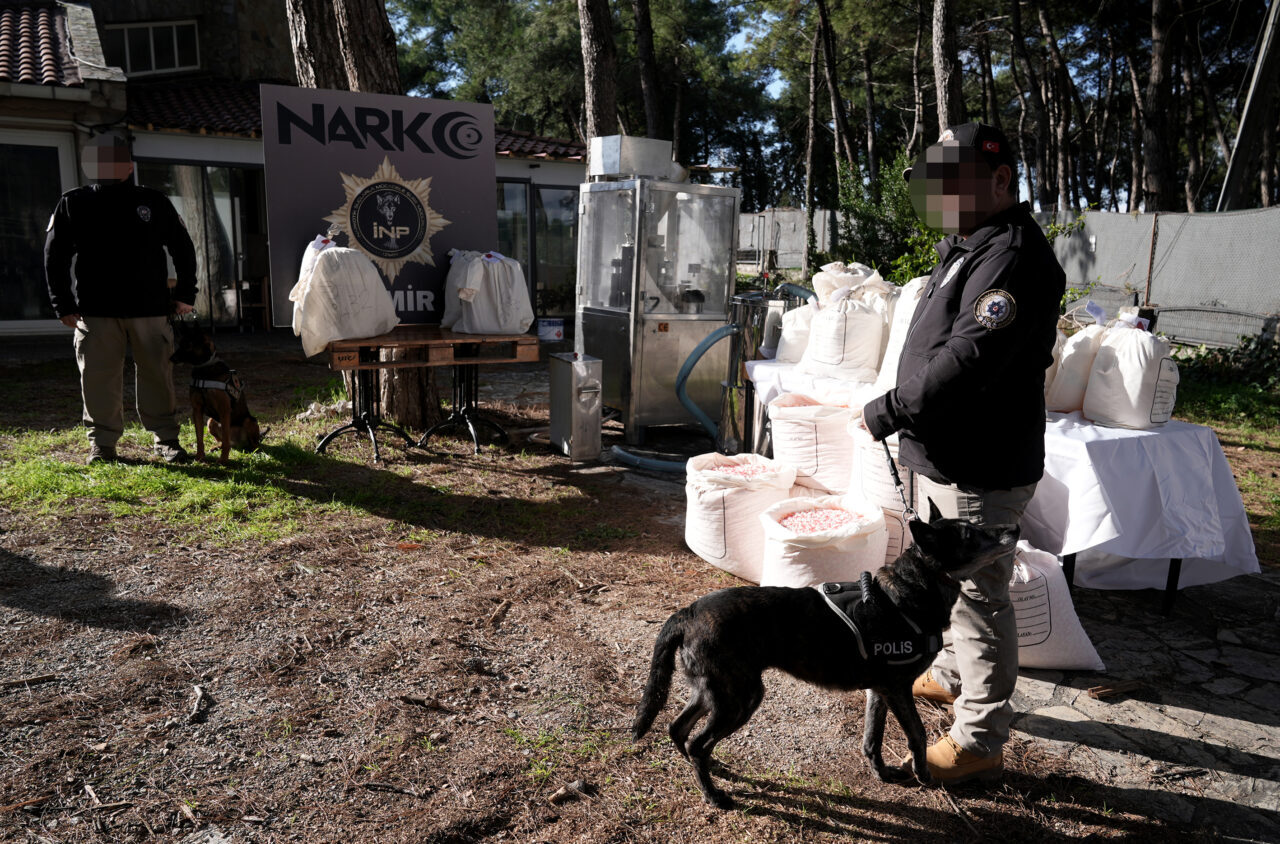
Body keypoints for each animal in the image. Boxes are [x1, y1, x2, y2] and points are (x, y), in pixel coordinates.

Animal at [168, 321, 263, 461]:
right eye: (180, 343)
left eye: (188, 345)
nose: (171, 358)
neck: (205, 368)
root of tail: (239, 443)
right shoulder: (197, 410)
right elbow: (199, 438)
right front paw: (200, 457)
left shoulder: (224, 410)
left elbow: (225, 441)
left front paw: (223, 460)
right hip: (211, 421)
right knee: (224, 441)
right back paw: (216, 447)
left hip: (249, 421)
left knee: (253, 443)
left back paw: (255, 450)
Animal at [632, 504, 1018, 809]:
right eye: (969, 534)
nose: (1015, 528)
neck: (909, 590)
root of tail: (688, 612)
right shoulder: (898, 689)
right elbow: (918, 735)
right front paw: (923, 775)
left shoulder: (879, 691)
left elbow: (871, 739)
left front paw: (882, 774)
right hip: (739, 698)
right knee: (698, 743)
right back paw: (713, 794)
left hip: (714, 692)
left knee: (677, 728)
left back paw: (708, 771)